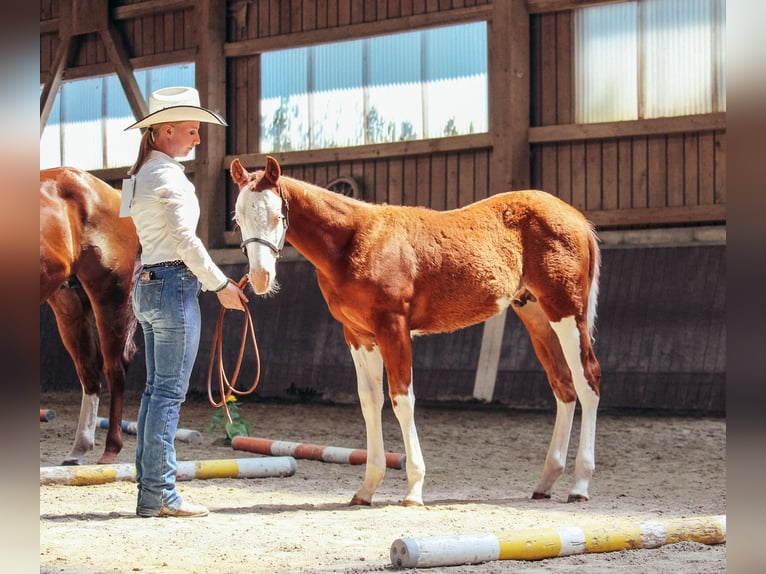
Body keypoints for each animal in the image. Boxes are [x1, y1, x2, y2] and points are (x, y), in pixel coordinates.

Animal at [40, 167, 141, 465]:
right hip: (68, 304)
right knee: (89, 369)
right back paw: (78, 449)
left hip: (110, 296)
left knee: (114, 369)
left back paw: (110, 450)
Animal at [230, 156, 602, 506]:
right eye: (238, 219)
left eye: (277, 216)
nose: (260, 278)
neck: (355, 241)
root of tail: (577, 219)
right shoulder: (358, 335)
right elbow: (370, 401)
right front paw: (366, 489)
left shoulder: (393, 326)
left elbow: (401, 399)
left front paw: (414, 489)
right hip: (535, 314)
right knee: (563, 386)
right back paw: (546, 482)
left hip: (566, 312)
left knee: (588, 380)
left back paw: (580, 485)